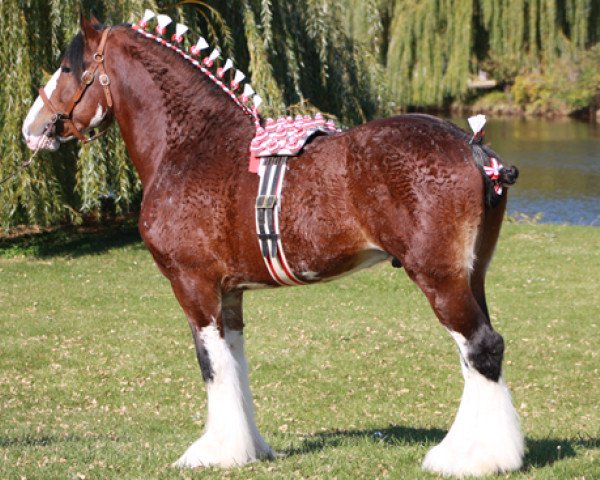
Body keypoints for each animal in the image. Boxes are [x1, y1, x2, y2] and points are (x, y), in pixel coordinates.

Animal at [21, 15, 524, 476]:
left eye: (67, 67)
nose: (31, 128)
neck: (193, 145)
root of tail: (473, 147)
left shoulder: (194, 285)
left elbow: (211, 364)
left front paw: (212, 453)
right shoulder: (230, 293)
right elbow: (234, 363)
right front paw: (247, 448)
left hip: (438, 277)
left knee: (481, 347)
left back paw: (472, 458)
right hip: (470, 275)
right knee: (475, 355)